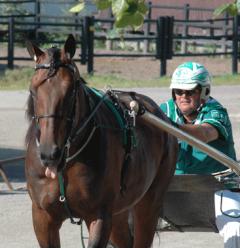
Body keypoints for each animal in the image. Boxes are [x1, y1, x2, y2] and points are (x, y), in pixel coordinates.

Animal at [25, 35, 177, 248]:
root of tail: (161, 115)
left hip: (149, 202)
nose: (49, 154)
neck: (67, 161)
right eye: (33, 90)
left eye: (71, 90)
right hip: (120, 210)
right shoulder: (42, 217)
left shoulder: (99, 215)